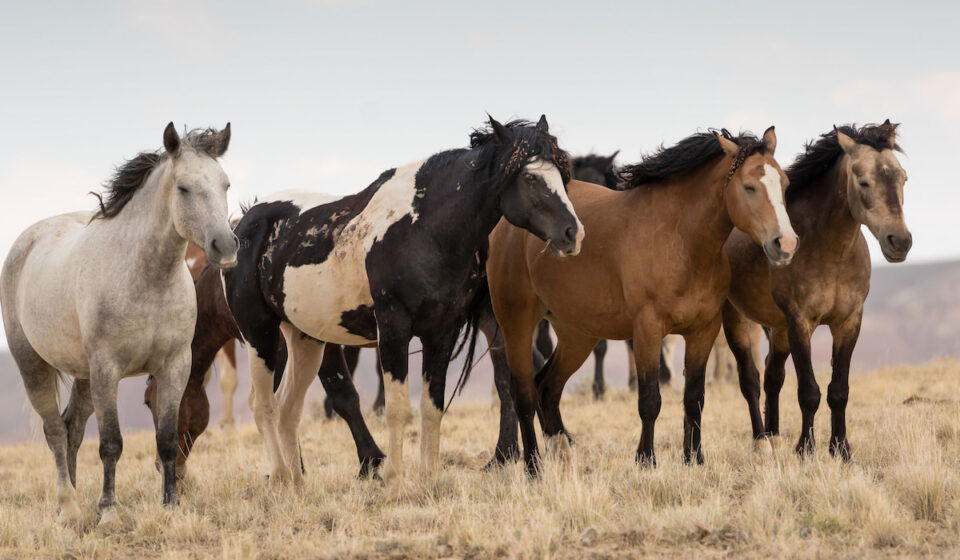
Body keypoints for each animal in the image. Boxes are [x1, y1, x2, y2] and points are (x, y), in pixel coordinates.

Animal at [0, 123, 236, 525]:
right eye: (184, 188)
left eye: (225, 185)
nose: (226, 246)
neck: (147, 278)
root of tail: (28, 241)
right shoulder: (107, 370)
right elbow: (111, 444)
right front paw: (108, 511)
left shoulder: (175, 366)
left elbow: (166, 440)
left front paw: (170, 506)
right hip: (34, 365)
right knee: (54, 430)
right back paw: (67, 505)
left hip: (83, 376)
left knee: (72, 428)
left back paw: (75, 500)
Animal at [223, 115, 583, 493]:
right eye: (529, 176)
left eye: (563, 174)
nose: (573, 233)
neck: (424, 231)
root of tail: (246, 222)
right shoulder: (393, 329)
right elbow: (397, 408)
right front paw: (394, 478)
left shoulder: (442, 333)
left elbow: (432, 405)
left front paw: (430, 476)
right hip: (259, 333)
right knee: (263, 404)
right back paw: (279, 477)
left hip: (306, 338)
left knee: (287, 407)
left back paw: (296, 484)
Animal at [487, 127, 797, 473]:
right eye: (749, 186)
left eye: (784, 184)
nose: (785, 243)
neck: (680, 240)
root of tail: (506, 226)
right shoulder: (648, 329)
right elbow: (650, 399)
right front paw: (646, 460)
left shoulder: (703, 331)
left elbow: (694, 397)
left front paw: (694, 459)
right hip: (516, 325)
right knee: (524, 394)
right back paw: (533, 467)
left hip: (577, 334)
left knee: (548, 387)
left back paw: (562, 452)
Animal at [723, 121, 911, 459]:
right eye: (863, 181)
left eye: (903, 178)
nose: (900, 241)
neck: (831, 251)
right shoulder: (800, 322)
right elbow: (808, 391)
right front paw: (806, 450)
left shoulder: (848, 322)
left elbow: (839, 390)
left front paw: (841, 449)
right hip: (736, 320)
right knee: (751, 379)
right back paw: (761, 441)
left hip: (778, 329)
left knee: (772, 376)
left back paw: (775, 436)